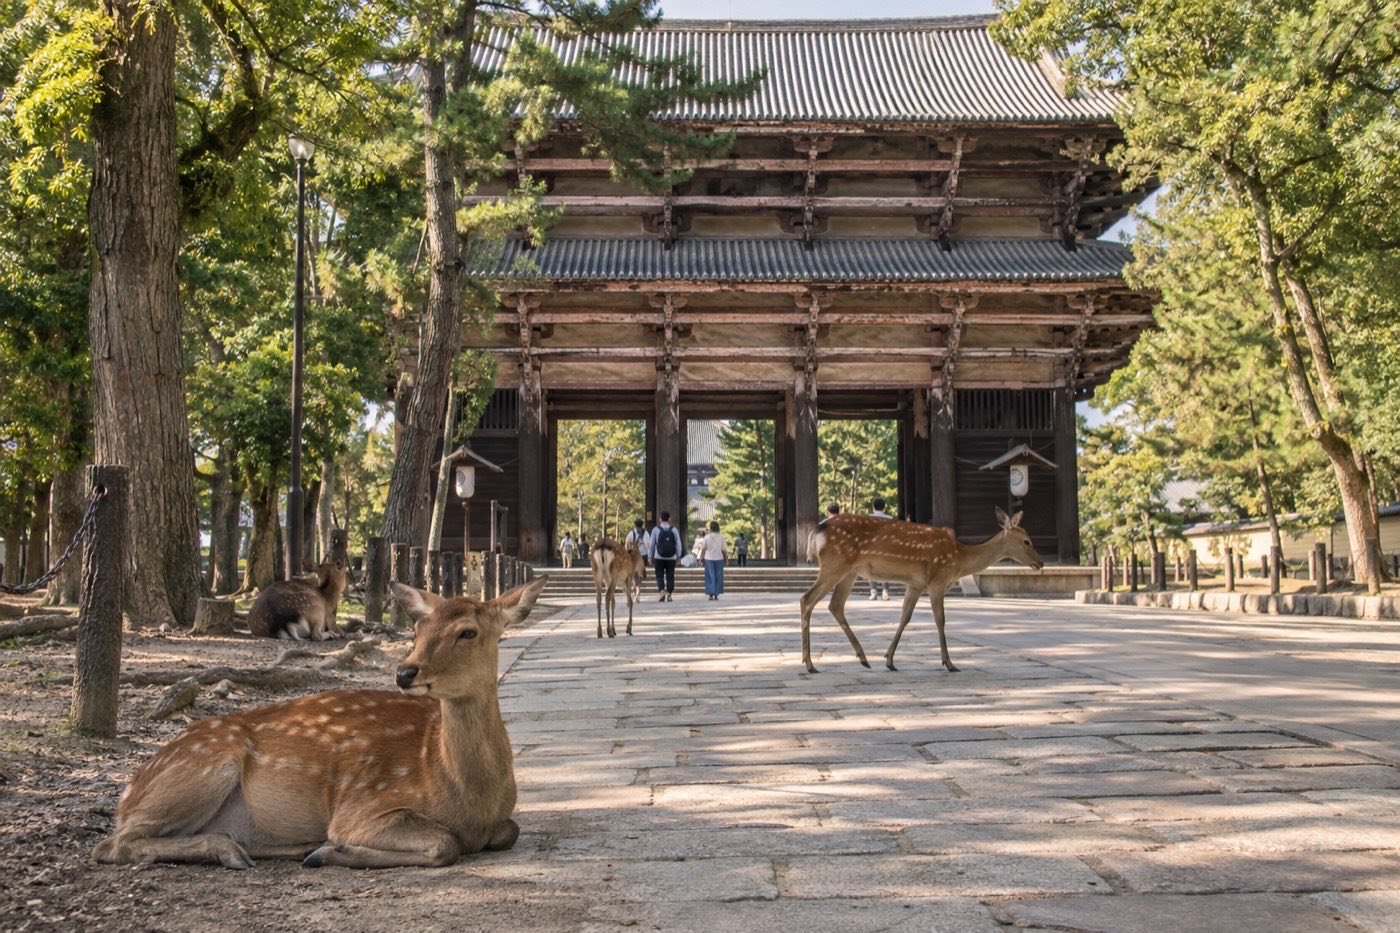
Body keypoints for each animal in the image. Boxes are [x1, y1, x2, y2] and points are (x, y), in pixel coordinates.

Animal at [94, 576, 549, 870]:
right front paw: (336, 851)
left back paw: (281, 847)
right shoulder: (362, 807)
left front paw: (325, 850)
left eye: (468, 632)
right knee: (112, 843)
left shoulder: (499, 821)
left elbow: (508, 830)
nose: (405, 672)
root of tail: (128, 791)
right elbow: (444, 843)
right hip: (203, 766)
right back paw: (230, 852)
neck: (465, 795)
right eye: (419, 627)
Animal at [800, 508, 1044, 674]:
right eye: (1026, 541)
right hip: (835, 563)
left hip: (849, 571)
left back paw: (863, 658)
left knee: (835, 605)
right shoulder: (938, 580)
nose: (1040, 563)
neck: (960, 558)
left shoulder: (916, 584)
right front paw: (949, 663)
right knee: (807, 599)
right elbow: (940, 620)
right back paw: (809, 663)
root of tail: (817, 530)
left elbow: (905, 617)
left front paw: (889, 660)